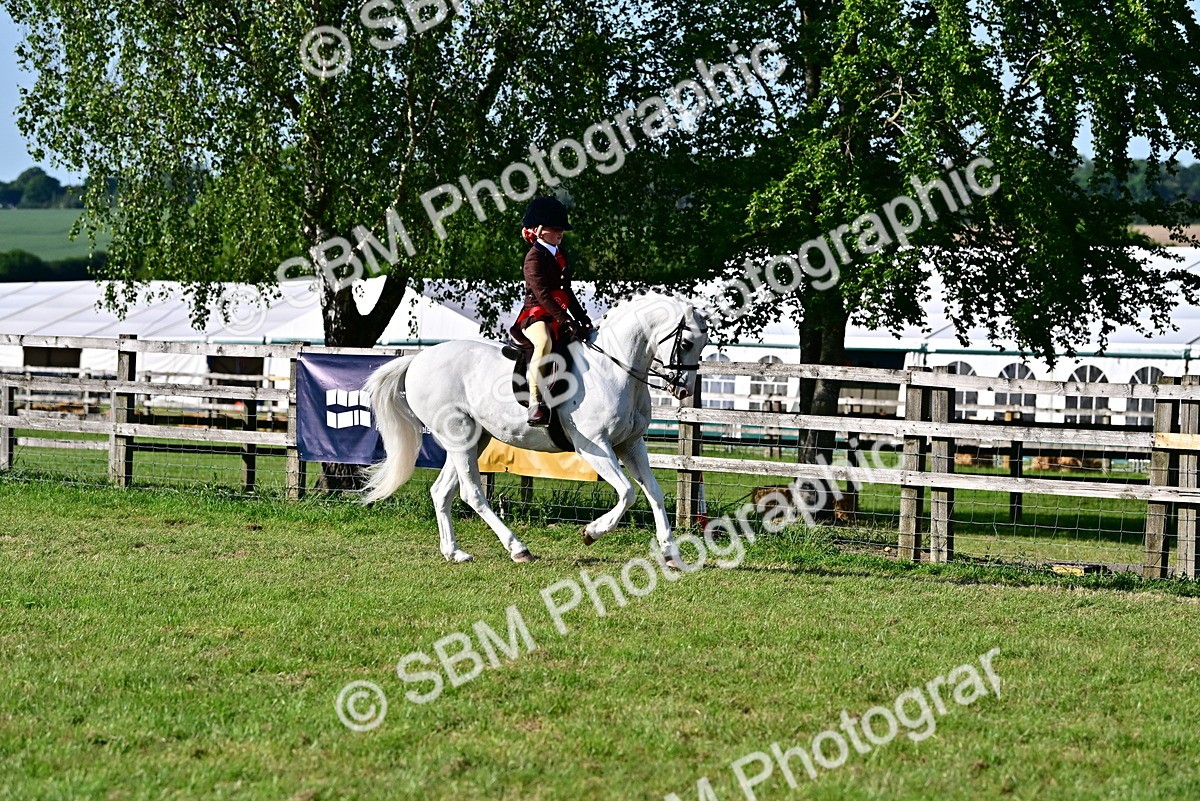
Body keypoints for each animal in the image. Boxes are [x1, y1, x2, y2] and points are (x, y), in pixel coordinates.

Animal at [363, 293, 709, 567]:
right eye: (687, 342)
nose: (683, 390)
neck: (612, 368)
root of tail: (419, 358)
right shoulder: (594, 447)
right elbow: (627, 492)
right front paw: (591, 533)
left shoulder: (631, 445)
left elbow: (654, 493)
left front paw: (671, 553)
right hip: (459, 437)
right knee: (472, 493)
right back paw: (518, 548)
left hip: (473, 439)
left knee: (441, 492)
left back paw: (455, 552)